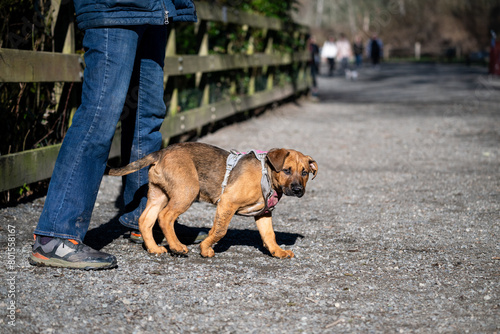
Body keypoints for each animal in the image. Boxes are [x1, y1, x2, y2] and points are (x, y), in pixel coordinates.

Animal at [110, 142, 320, 258]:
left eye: (305, 173)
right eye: (286, 170)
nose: (298, 189)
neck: (267, 175)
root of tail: (160, 153)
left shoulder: (263, 213)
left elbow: (269, 235)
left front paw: (277, 252)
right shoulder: (227, 202)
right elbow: (219, 230)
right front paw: (205, 248)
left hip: (159, 194)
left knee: (145, 219)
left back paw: (154, 248)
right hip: (187, 191)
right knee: (165, 217)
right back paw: (177, 246)